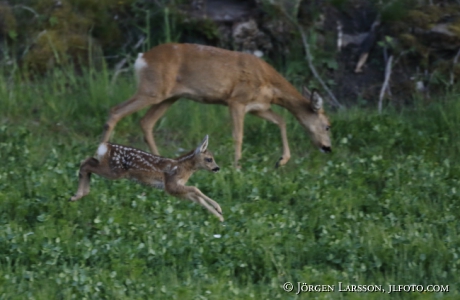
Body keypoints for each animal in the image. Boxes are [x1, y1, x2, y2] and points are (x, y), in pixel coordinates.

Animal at [69, 135, 225, 221]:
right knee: (85, 164)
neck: (183, 167)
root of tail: (105, 146)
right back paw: (79, 194)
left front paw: (219, 216)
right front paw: (219, 209)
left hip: (109, 168)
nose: (217, 168)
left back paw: (78, 195)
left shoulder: (176, 190)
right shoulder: (170, 184)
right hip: (114, 171)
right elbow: (196, 189)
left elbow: (197, 199)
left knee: (87, 161)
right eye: (209, 159)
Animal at [99, 43, 330, 168]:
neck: (270, 85)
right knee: (115, 111)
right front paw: (238, 168)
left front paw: (281, 161)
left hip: (169, 96)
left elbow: (281, 120)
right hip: (153, 90)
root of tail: (141, 58)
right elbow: (238, 136)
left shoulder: (258, 107)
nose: (328, 147)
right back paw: (100, 156)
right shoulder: (236, 100)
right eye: (328, 126)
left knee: (146, 121)